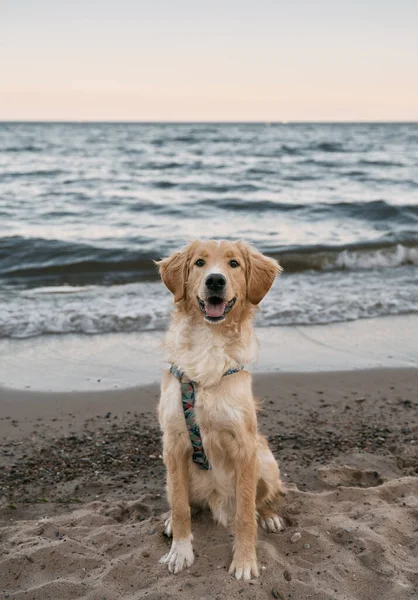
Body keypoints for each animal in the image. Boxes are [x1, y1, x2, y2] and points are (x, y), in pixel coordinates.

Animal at [156, 240, 284, 580]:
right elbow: (181, 506)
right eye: (200, 263)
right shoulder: (173, 444)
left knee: (261, 499)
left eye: (234, 263)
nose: (215, 280)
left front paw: (245, 561)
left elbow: (245, 514)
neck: (209, 343)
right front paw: (181, 551)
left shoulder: (244, 446)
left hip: (266, 461)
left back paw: (269, 515)